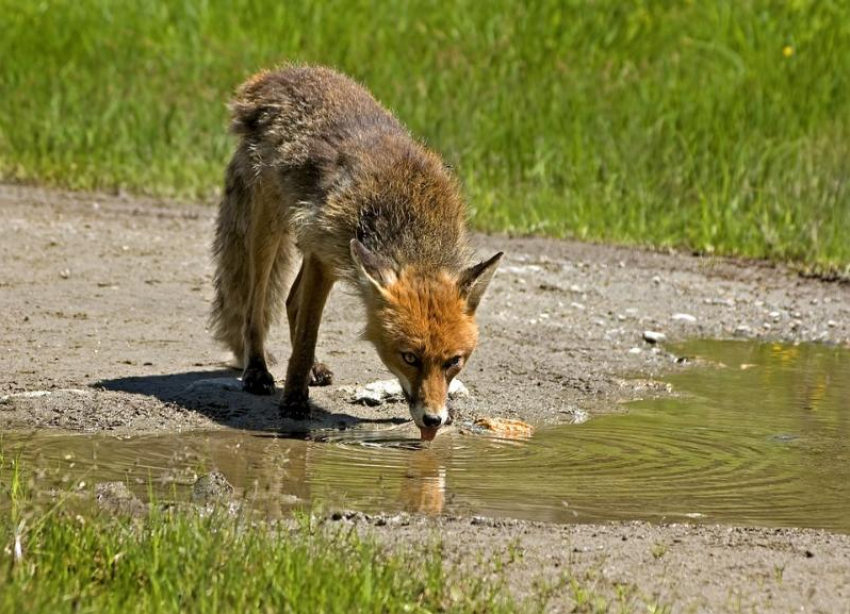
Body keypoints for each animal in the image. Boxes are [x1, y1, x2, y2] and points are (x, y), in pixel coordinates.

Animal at [211, 66, 500, 442]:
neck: (405, 221)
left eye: (454, 361)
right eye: (409, 357)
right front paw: (294, 401)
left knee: (290, 300)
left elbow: (302, 327)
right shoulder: (323, 258)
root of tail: (277, 73)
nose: (433, 420)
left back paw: (313, 369)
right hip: (272, 228)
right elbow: (306, 337)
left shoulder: (328, 255)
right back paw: (257, 371)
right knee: (254, 306)